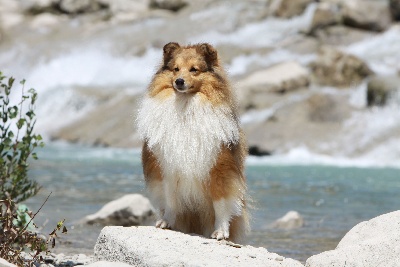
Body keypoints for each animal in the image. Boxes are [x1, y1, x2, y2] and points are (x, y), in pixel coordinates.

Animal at [138, 41, 250, 243]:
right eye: (176, 69)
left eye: (194, 69)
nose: (179, 81)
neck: (185, 105)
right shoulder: (167, 168)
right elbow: (170, 200)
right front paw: (166, 222)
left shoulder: (219, 169)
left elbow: (221, 204)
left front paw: (220, 232)